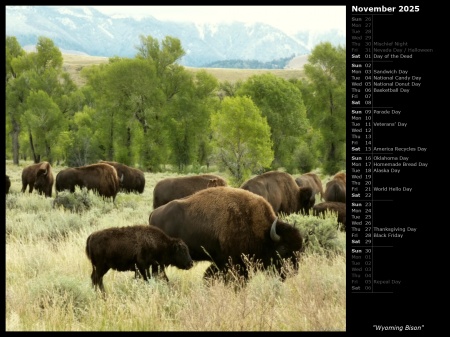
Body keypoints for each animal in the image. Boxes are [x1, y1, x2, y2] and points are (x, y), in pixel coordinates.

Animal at [149, 185, 304, 282]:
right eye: (283, 248)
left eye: (300, 248)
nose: (293, 271)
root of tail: (154, 214)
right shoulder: (233, 262)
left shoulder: (222, 261)